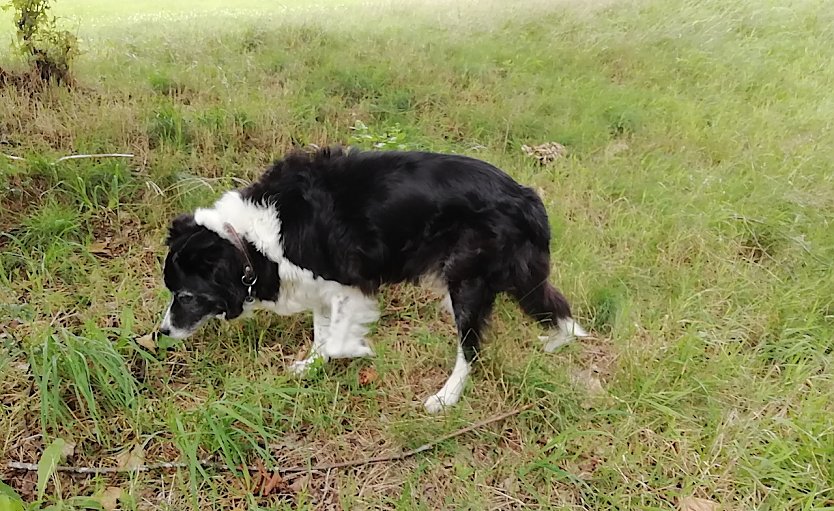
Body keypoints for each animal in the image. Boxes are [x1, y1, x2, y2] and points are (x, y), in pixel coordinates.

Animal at [156, 146, 584, 414]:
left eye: (187, 296)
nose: (162, 333)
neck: (247, 241)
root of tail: (526, 196)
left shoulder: (351, 287)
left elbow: (337, 340)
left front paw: (358, 351)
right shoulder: (320, 290)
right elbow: (322, 334)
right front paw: (311, 366)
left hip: (467, 283)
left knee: (471, 350)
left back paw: (445, 398)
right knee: (556, 307)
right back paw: (558, 340)